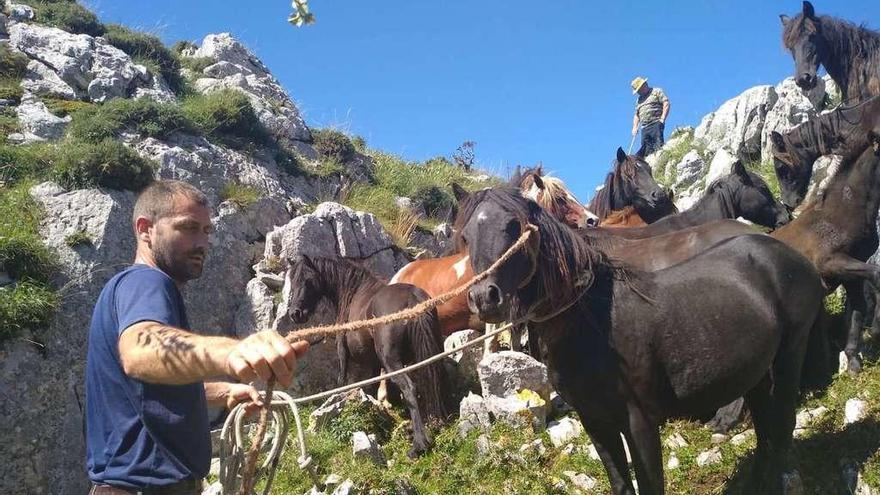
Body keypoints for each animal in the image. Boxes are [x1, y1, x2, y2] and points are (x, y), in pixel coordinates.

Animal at [288, 256, 454, 458]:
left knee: (409, 388)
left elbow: (343, 381)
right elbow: (373, 387)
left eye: (308, 280)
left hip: (392, 361)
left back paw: (419, 444)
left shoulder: (343, 353)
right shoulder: (374, 362)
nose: (295, 313)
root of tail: (413, 299)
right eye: (292, 280)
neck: (354, 291)